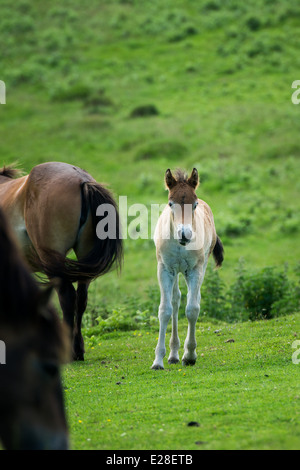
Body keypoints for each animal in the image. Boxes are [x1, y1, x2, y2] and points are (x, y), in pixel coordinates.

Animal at [152, 169, 223, 370]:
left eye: (195, 204)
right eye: (171, 203)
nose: (185, 234)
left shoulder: (194, 270)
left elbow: (192, 309)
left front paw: (190, 355)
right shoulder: (165, 269)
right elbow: (165, 310)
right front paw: (158, 360)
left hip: (200, 267)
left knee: (192, 299)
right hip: (176, 271)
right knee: (176, 300)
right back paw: (173, 354)